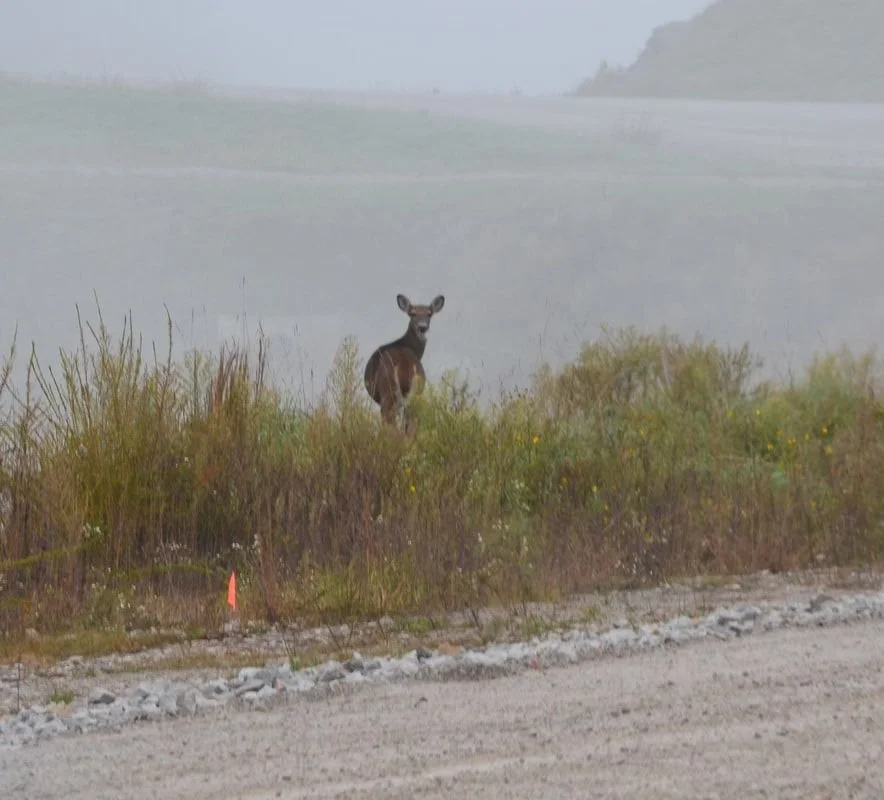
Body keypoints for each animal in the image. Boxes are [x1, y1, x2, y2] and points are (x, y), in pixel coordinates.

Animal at [364, 293, 445, 432]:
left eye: (429, 314)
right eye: (413, 314)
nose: (422, 328)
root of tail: (405, 366)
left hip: (388, 392)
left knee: (391, 424)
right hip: (416, 393)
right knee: (410, 424)